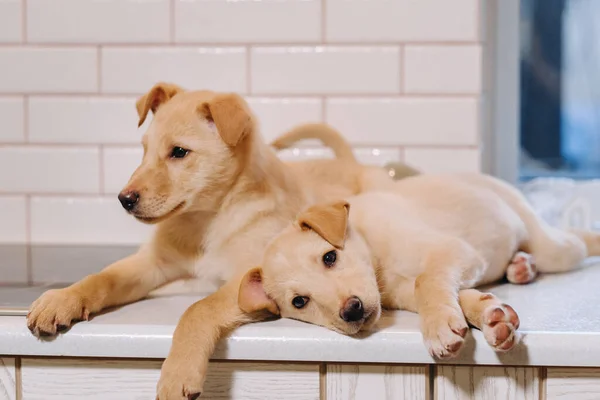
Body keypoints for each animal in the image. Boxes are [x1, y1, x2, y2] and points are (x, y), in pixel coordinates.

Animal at [239, 175, 600, 360]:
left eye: (330, 257)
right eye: (299, 302)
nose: (352, 311)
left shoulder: (452, 251)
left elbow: (427, 280)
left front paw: (439, 328)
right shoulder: (402, 292)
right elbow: (449, 295)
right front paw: (491, 316)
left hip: (554, 246)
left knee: (575, 241)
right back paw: (521, 266)